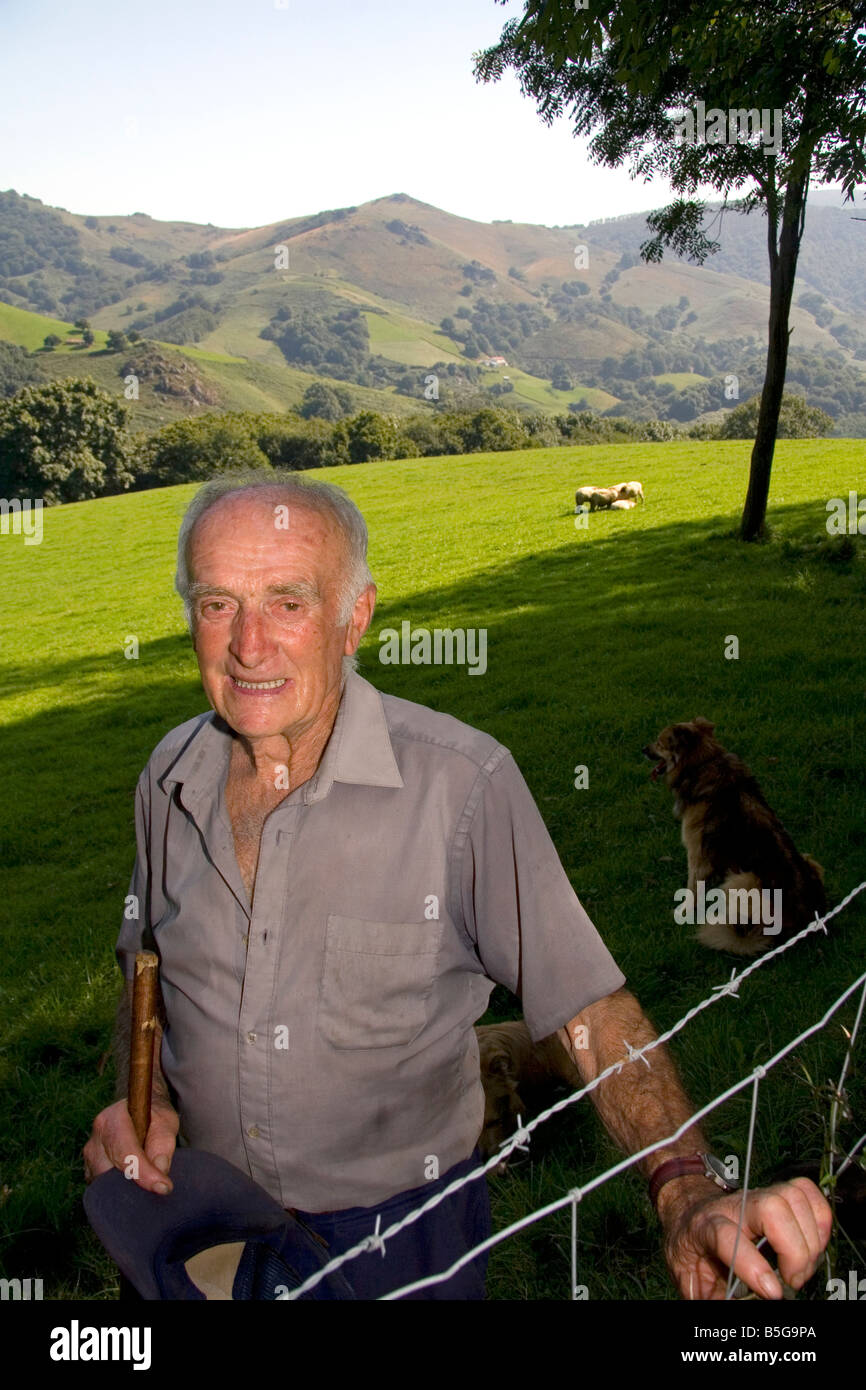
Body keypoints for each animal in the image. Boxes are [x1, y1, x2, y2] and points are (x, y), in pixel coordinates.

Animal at [644, 717, 828, 956]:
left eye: (660, 742)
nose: (643, 749)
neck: (704, 761)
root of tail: (802, 922)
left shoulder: (697, 854)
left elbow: (692, 887)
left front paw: (682, 910)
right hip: (810, 860)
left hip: (742, 879)